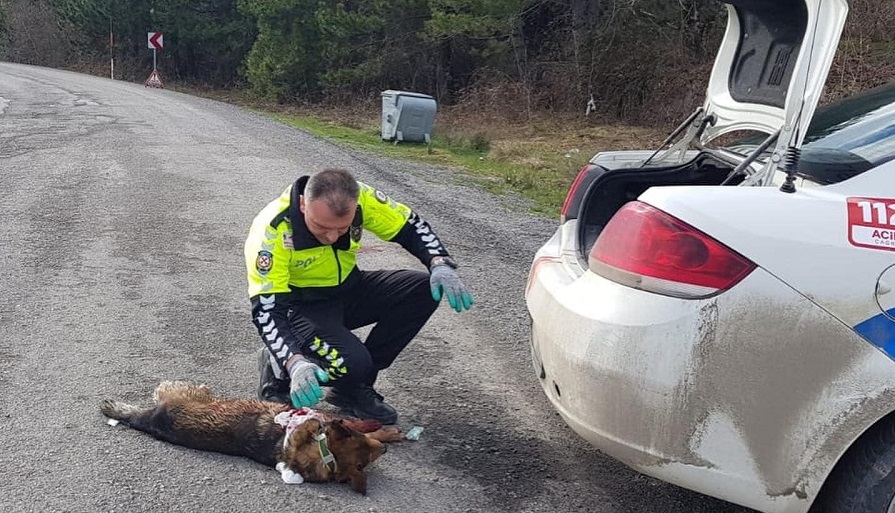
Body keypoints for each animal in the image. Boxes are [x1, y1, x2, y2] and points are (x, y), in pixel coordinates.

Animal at [100, 380, 404, 492]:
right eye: (360, 445)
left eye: (364, 462)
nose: (385, 452)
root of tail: (153, 419)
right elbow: (372, 427)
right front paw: (388, 432)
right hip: (180, 387)